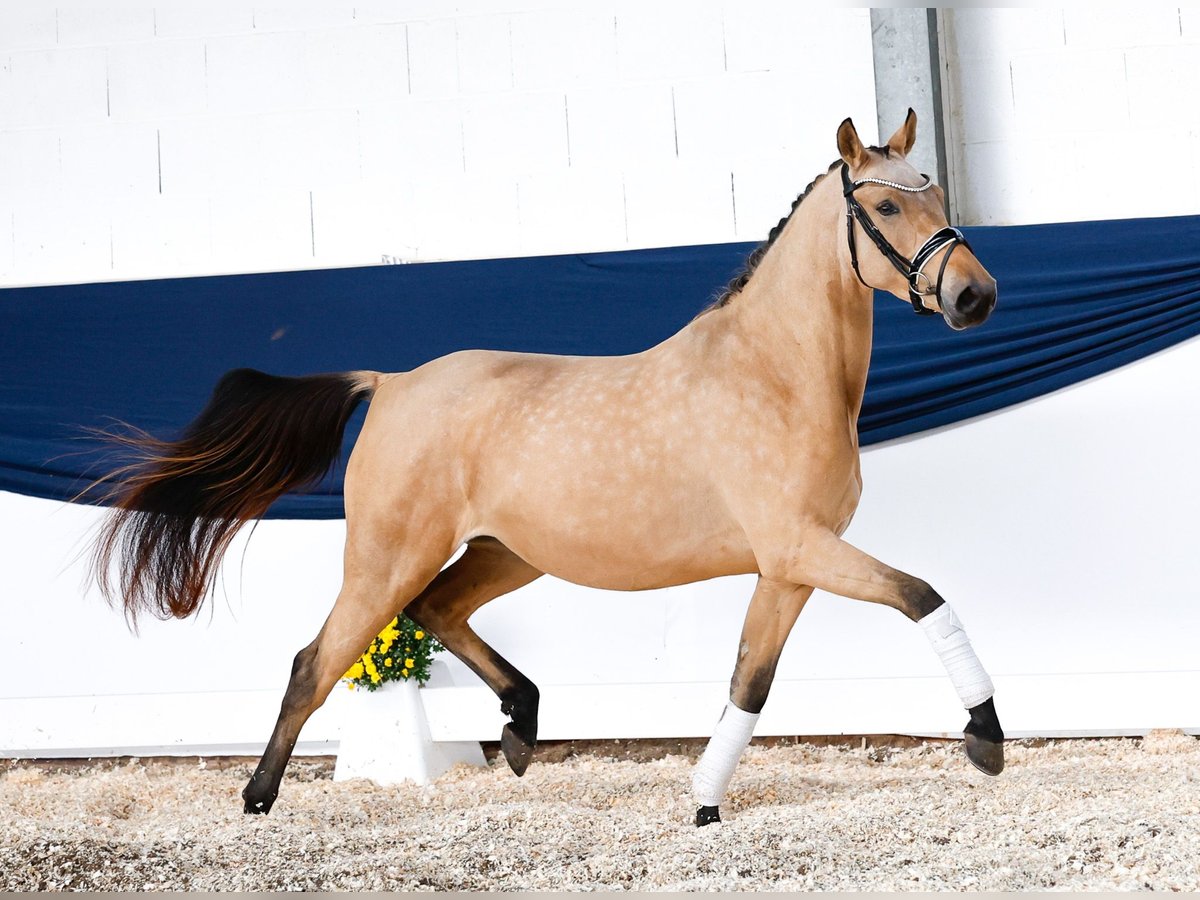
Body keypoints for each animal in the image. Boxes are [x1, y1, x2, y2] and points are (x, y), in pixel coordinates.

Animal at [88, 109, 1003, 830]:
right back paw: (257, 800)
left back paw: (522, 726)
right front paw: (986, 741)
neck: (776, 374)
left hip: (505, 554)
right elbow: (925, 597)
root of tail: (389, 383)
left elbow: (750, 685)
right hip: (386, 557)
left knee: (436, 609)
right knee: (316, 662)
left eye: (938, 198)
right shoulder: (800, 549)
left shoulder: (786, 569)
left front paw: (705, 804)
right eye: (886, 203)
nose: (976, 297)